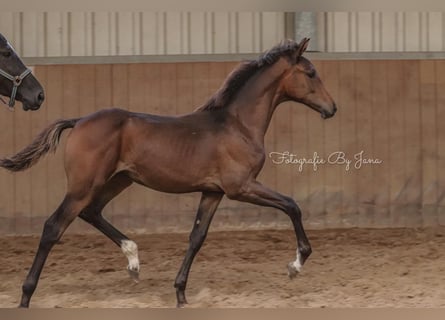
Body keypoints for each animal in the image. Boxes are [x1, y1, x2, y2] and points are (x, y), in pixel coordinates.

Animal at [0, 38, 332, 308]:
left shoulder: (213, 192)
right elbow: (292, 205)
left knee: (92, 212)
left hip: (118, 180)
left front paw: (181, 294)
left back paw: (133, 261)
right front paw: (296, 264)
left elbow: (197, 237)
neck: (238, 124)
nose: (332, 108)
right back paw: (26, 296)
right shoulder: (241, 187)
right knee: (53, 227)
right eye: (311, 73)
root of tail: (79, 120)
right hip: (84, 185)